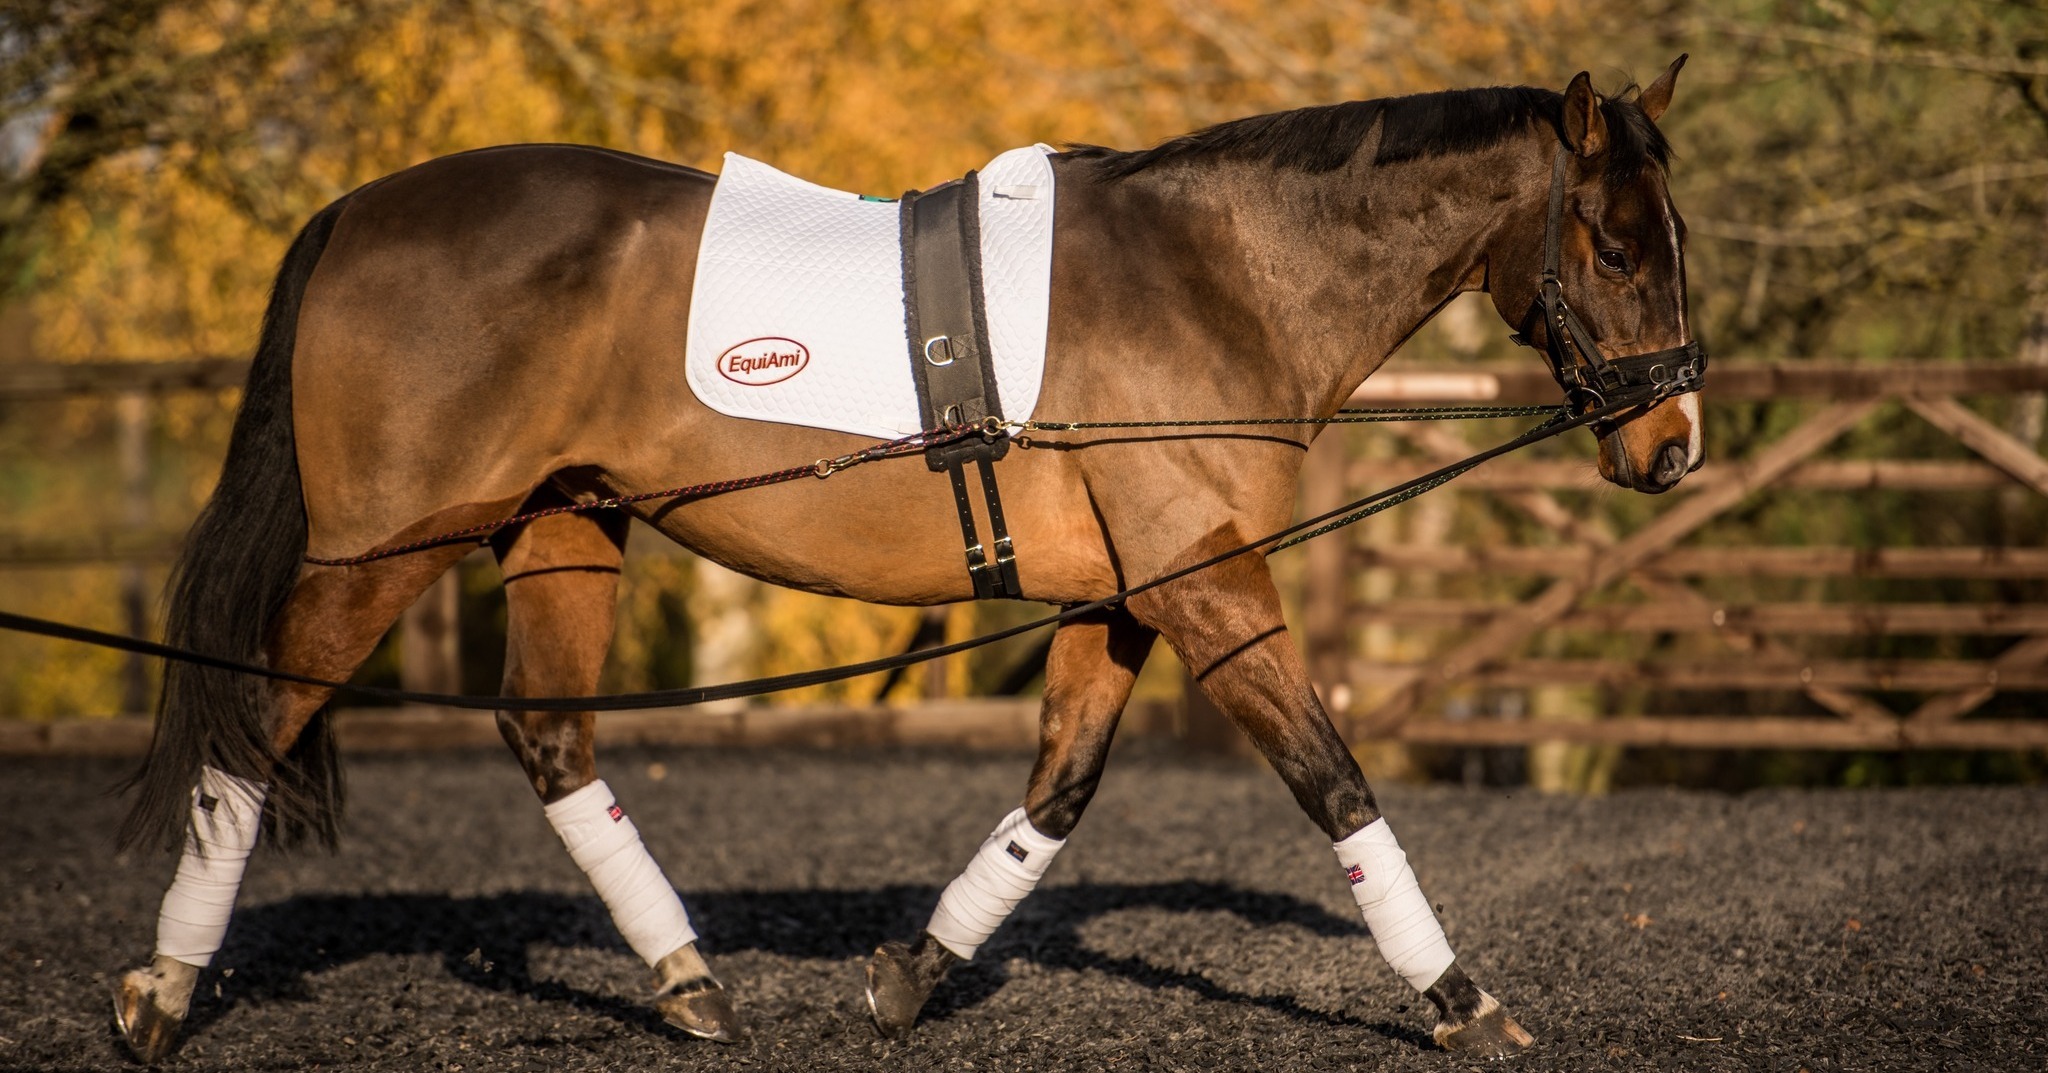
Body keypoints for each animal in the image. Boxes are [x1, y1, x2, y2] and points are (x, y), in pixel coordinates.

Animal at [112, 58, 1702, 1062]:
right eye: (1618, 247)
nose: (1672, 445)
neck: (1218, 278)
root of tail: (357, 210)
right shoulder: (1205, 581)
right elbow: (1335, 780)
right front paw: (1461, 998)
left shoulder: (1124, 592)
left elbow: (1057, 792)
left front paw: (912, 975)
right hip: (383, 550)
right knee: (254, 724)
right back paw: (163, 989)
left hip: (561, 528)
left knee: (548, 734)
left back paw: (688, 981)